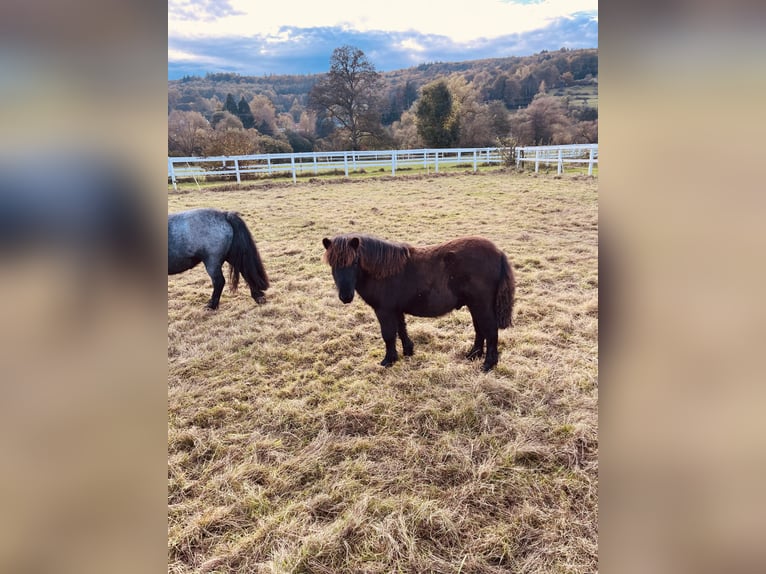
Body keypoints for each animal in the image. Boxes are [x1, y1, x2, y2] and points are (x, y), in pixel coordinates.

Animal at [324, 234, 516, 374]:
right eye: (332, 264)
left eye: (355, 262)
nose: (345, 296)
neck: (383, 271)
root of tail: (498, 253)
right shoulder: (396, 310)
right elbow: (401, 330)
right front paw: (408, 351)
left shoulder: (384, 311)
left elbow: (388, 334)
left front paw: (388, 360)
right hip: (474, 305)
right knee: (480, 329)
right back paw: (473, 355)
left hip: (481, 305)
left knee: (490, 331)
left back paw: (488, 364)